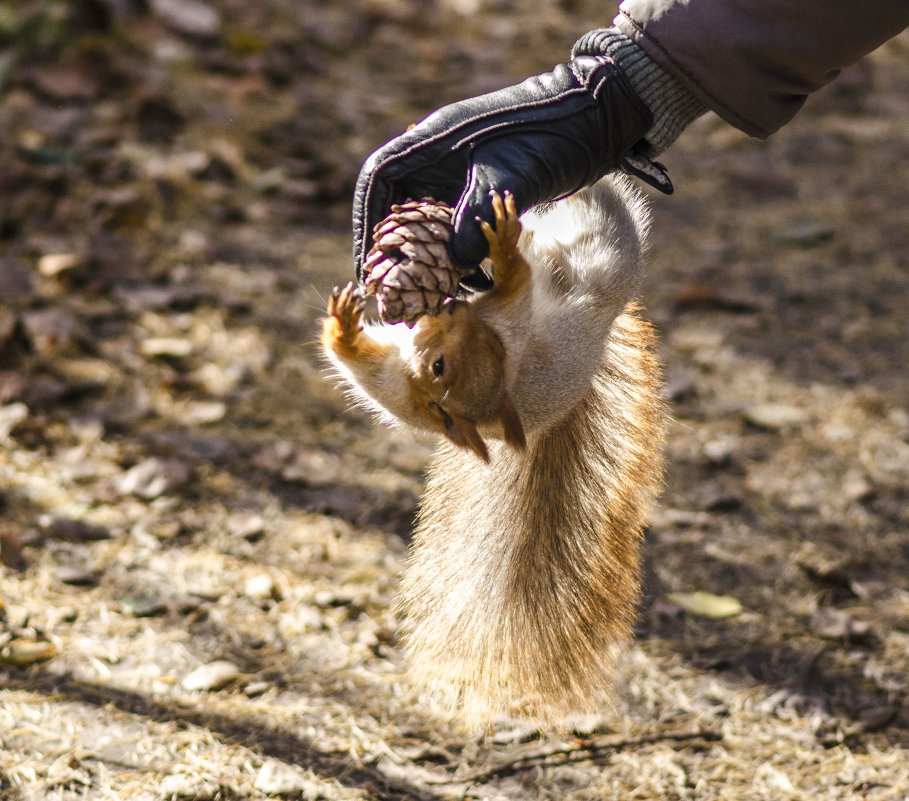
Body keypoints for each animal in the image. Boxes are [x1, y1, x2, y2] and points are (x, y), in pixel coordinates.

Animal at [320, 177, 668, 724]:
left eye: (447, 363)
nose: (452, 306)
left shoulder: (509, 328)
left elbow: (517, 285)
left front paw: (501, 248)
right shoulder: (401, 387)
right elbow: (366, 369)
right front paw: (344, 327)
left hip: (606, 250)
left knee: (594, 219)